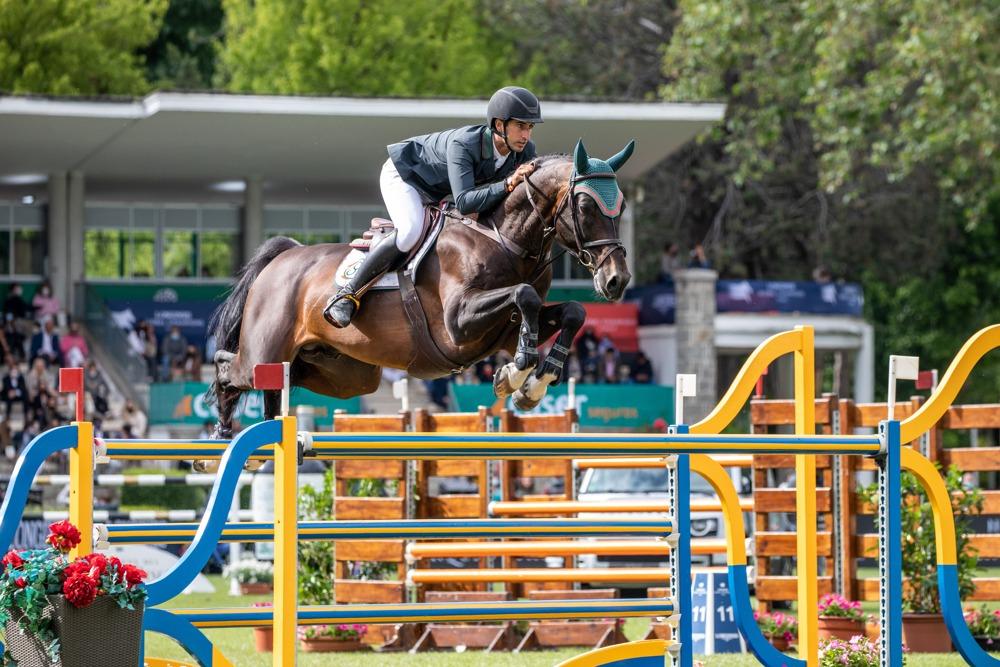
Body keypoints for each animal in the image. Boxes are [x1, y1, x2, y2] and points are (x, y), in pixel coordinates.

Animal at [207, 141, 636, 438]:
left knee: (282, 381)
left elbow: (570, 312)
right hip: (266, 351)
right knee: (229, 367)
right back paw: (223, 432)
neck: (504, 239)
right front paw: (516, 373)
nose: (616, 280)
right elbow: (524, 296)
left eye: (622, 207)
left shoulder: (503, 331)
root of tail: (283, 257)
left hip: (344, 374)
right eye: (586, 207)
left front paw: (533, 381)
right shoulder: (459, 323)